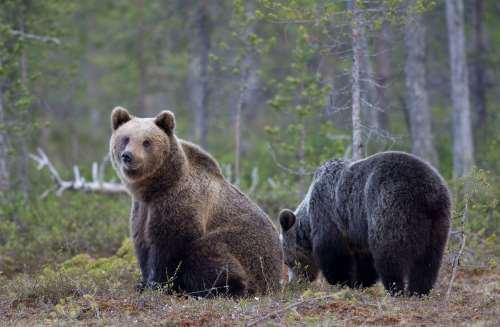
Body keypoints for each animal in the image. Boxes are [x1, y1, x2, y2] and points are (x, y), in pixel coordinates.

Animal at [109, 107, 284, 298]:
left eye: (146, 142)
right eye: (126, 138)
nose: (128, 156)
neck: (156, 188)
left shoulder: (178, 203)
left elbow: (168, 246)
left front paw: (157, 286)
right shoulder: (143, 210)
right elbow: (142, 243)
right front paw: (142, 283)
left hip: (247, 251)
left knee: (206, 252)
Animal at [280, 152, 452, 298]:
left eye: (288, 261)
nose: (294, 283)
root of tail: (427, 193)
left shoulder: (328, 212)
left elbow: (332, 250)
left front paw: (341, 281)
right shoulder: (358, 228)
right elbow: (364, 258)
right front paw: (360, 282)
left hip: (389, 205)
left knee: (388, 253)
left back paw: (396, 289)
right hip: (438, 221)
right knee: (429, 259)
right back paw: (418, 291)